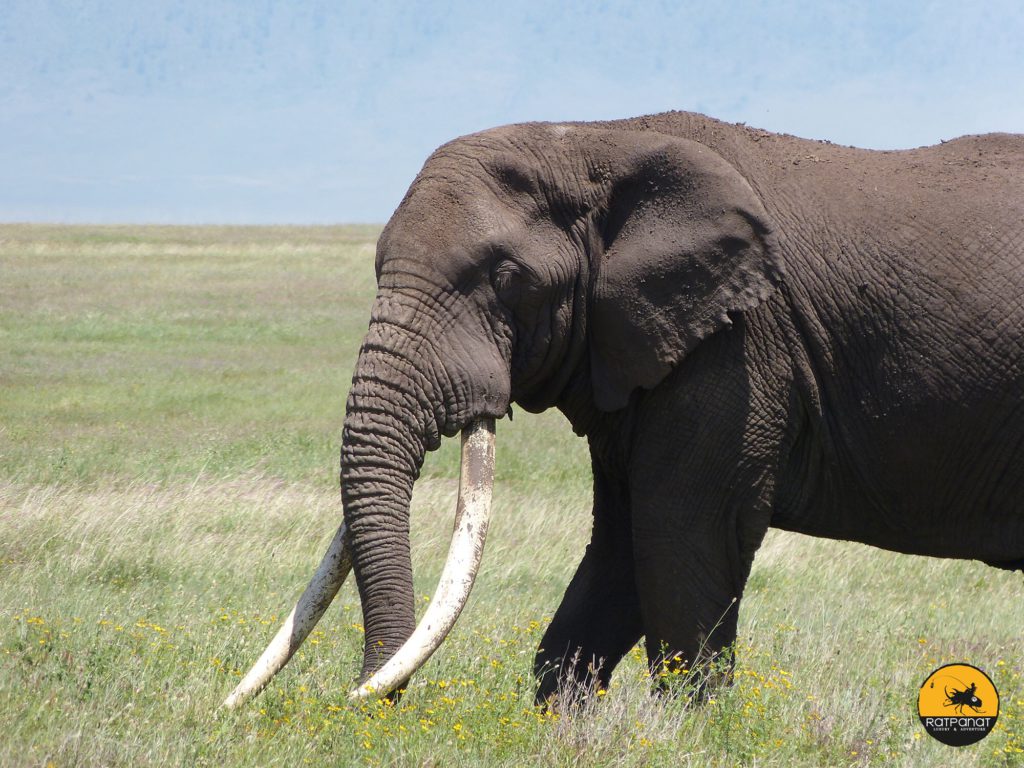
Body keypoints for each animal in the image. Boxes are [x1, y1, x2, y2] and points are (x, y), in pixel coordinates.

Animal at [224, 111, 1024, 712]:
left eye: (503, 277)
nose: (363, 702)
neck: (592, 141)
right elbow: (618, 550)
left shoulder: (735, 347)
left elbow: (679, 537)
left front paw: (690, 737)